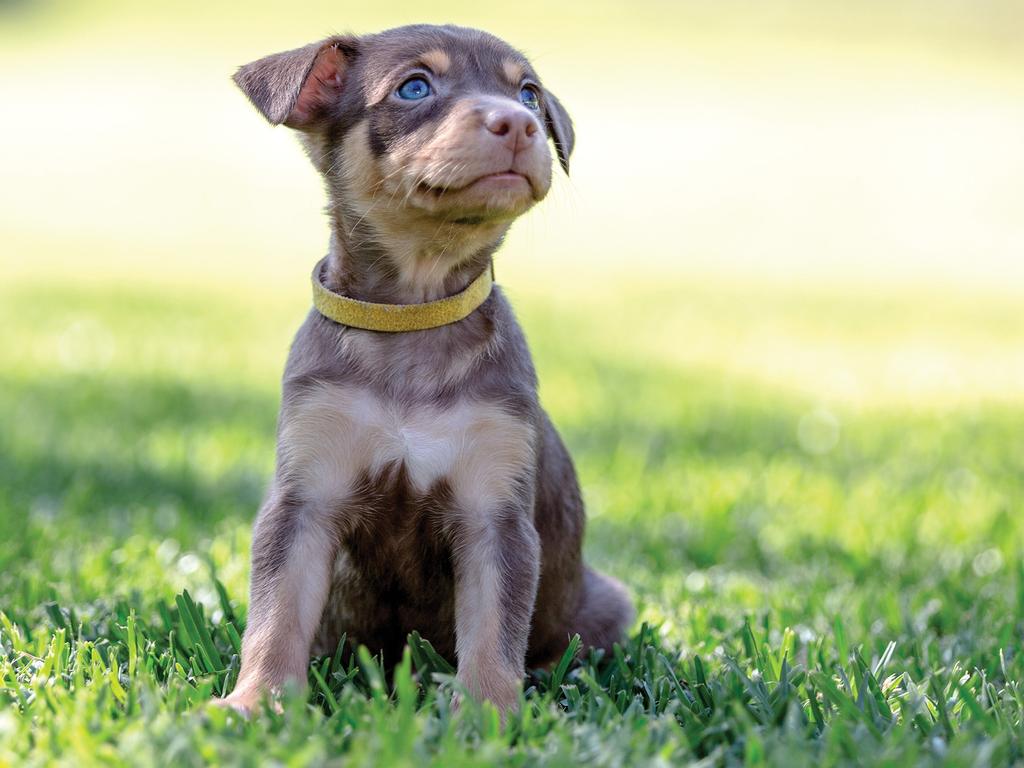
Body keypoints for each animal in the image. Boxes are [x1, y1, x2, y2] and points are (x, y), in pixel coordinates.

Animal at [216, 25, 630, 720]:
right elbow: (276, 618)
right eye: (414, 88)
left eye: (529, 93)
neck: (414, 311)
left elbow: (492, 631)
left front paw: (487, 716)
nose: (520, 124)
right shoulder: (305, 499)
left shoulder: (494, 512)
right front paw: (257, 704)